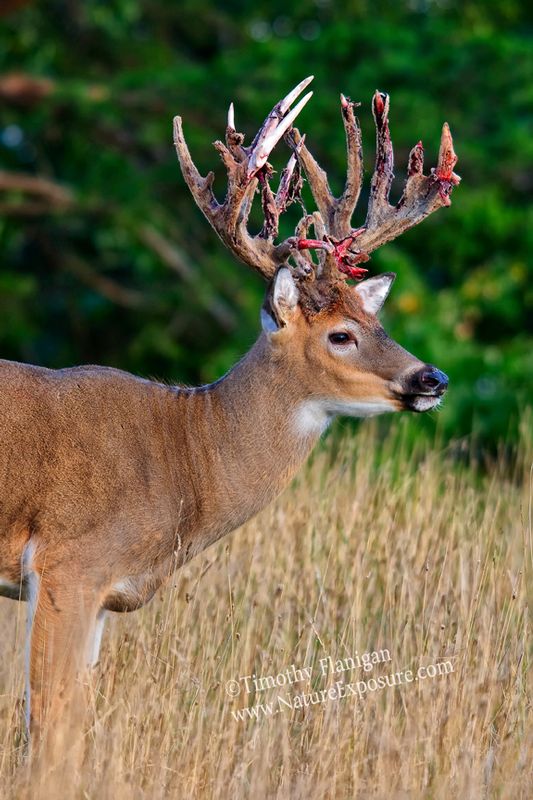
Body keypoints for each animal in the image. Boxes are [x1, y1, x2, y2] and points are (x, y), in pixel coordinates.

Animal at [0, 76, 459, 750]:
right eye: (341, 335)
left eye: (377, 322)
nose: (433, 378)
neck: (186, 460)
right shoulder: (67, 564)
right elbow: (53, 724)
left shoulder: (100, 592)